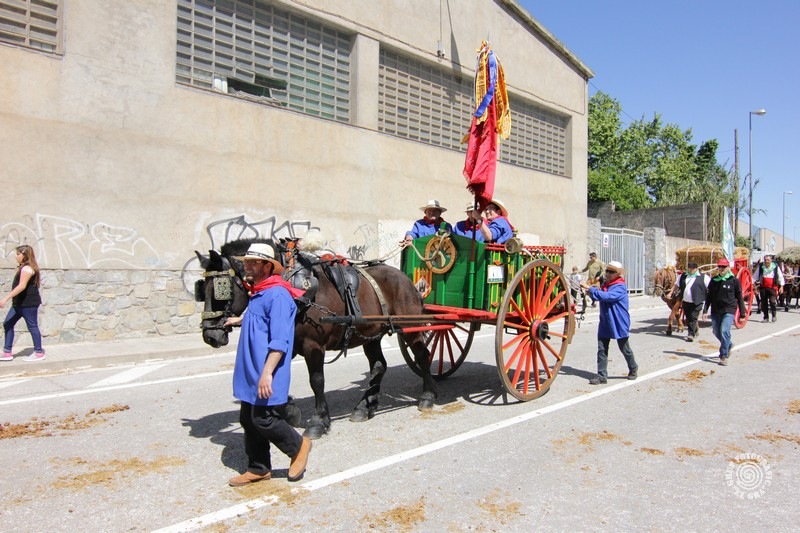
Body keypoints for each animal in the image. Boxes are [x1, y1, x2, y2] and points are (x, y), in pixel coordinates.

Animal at [194, 238, 437, 439]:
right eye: (201, 288)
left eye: (221, 288)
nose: (210, 335)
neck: (293, 286)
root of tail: (406, 279)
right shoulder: (287, 343)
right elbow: (269, 375)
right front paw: (290, 410)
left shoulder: (313, 346)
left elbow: (316, 381)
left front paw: (318, 422)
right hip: (371, 334)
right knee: (379, 365)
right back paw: (365, 406)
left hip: (410, 328)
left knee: (422, 355)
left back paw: (428, 395)